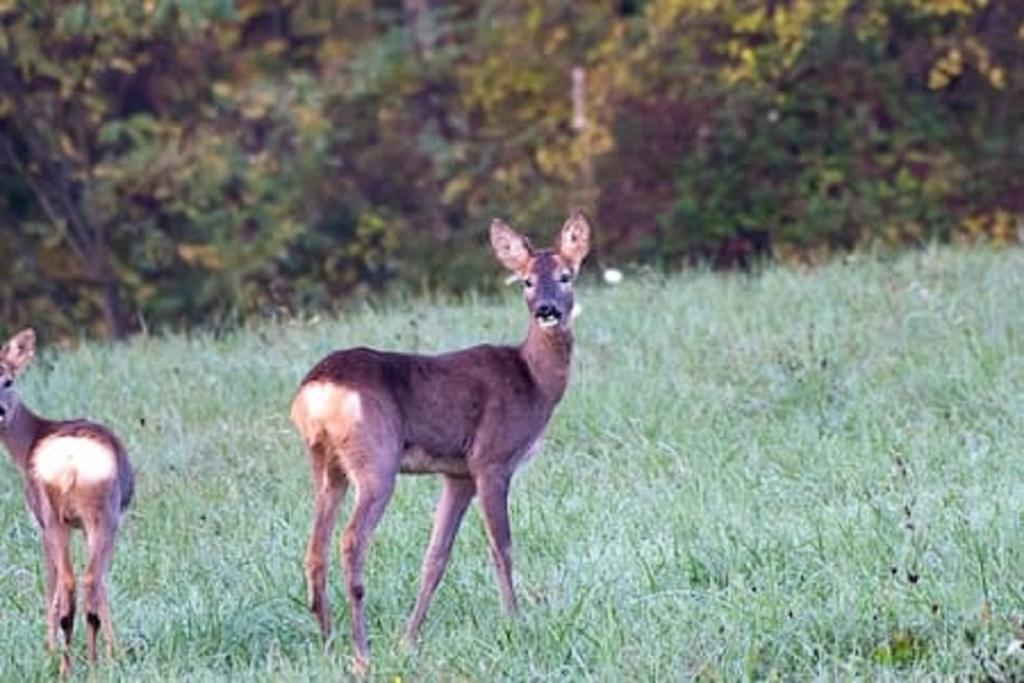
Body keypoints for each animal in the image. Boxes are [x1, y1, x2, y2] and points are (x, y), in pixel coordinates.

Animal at [0, 329, 135, 671]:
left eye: (8, 380)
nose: (0, 412)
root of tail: (72, 459)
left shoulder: (39, 521)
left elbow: (52, 584)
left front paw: (47, 649)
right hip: (95, 514)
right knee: (86, 580)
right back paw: (89, 661)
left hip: (68, 515)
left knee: (75, 581)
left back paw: (74, 661)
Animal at [288, 210, 593, 671]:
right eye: (525, 280)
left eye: (566, 275)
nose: (547, 310)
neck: (533, 379)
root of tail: (319, 388)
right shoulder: (491, 459)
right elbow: (501, 546)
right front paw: (515, 624)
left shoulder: (457, 473)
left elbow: (436, 556)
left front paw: (408, 640)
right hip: (377, 459)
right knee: (351, 541)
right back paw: (362, 654)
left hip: (326, 464)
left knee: (314, 549)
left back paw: (329, 645)